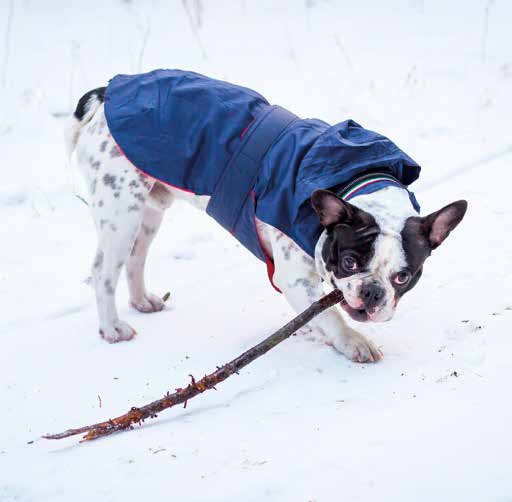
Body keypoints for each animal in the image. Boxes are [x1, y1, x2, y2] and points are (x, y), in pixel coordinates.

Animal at [67, 68, 468, 362]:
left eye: (403, 277)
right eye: (350, 262)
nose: (372, 293)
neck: (355, 179)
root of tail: (105, 93)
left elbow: (319, 313)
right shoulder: (294, 276)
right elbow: (331, 314)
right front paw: (351, 340)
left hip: (147, 210)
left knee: (136, 258)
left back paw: (142, 301)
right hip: (121, 210)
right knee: (103, 271)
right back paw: (112, 327)